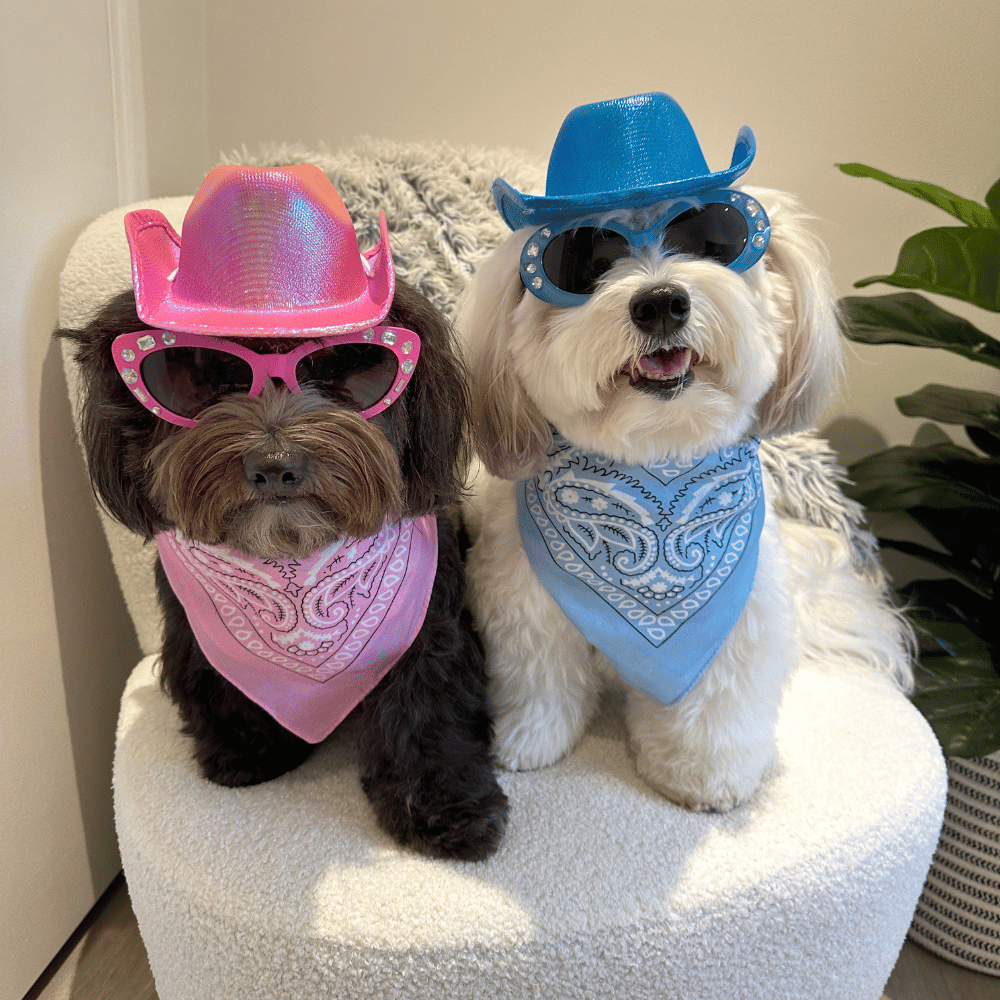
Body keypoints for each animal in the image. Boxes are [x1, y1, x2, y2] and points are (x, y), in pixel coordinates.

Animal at [458, 94, 912, 812]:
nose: (661, 301)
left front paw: (705, 778)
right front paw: (528, 742)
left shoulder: (734, 620)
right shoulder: (524, 599)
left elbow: (712, 709)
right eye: (587, 259)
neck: (658, 466)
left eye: (712, 240)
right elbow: (539, 679)